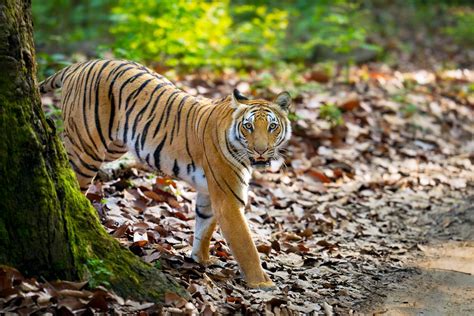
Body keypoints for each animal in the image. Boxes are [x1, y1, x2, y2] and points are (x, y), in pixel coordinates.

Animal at [39, 59, 292, 288]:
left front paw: (201, 259)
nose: (261, 150)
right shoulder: (228, 199)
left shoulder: (210, 192)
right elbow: (246, 246)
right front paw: (263, 284)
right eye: (248, 126)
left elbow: (204, 226)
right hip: (87, 148)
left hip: (112, 147)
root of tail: (80, 65)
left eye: (272, 126)